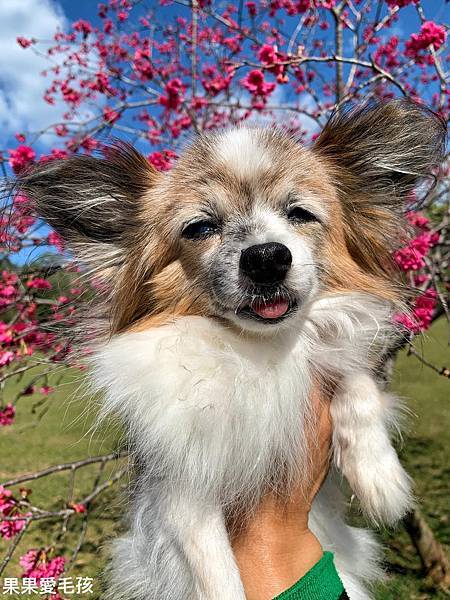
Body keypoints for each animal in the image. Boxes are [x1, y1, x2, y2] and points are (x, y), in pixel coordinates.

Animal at [16, 101, 442, 596]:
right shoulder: (179, 490)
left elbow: (358, 384)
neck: (259, 351)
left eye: (300, 214)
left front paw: (381, 478)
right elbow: (214, 569)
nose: (266, 257)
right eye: (200, 227)